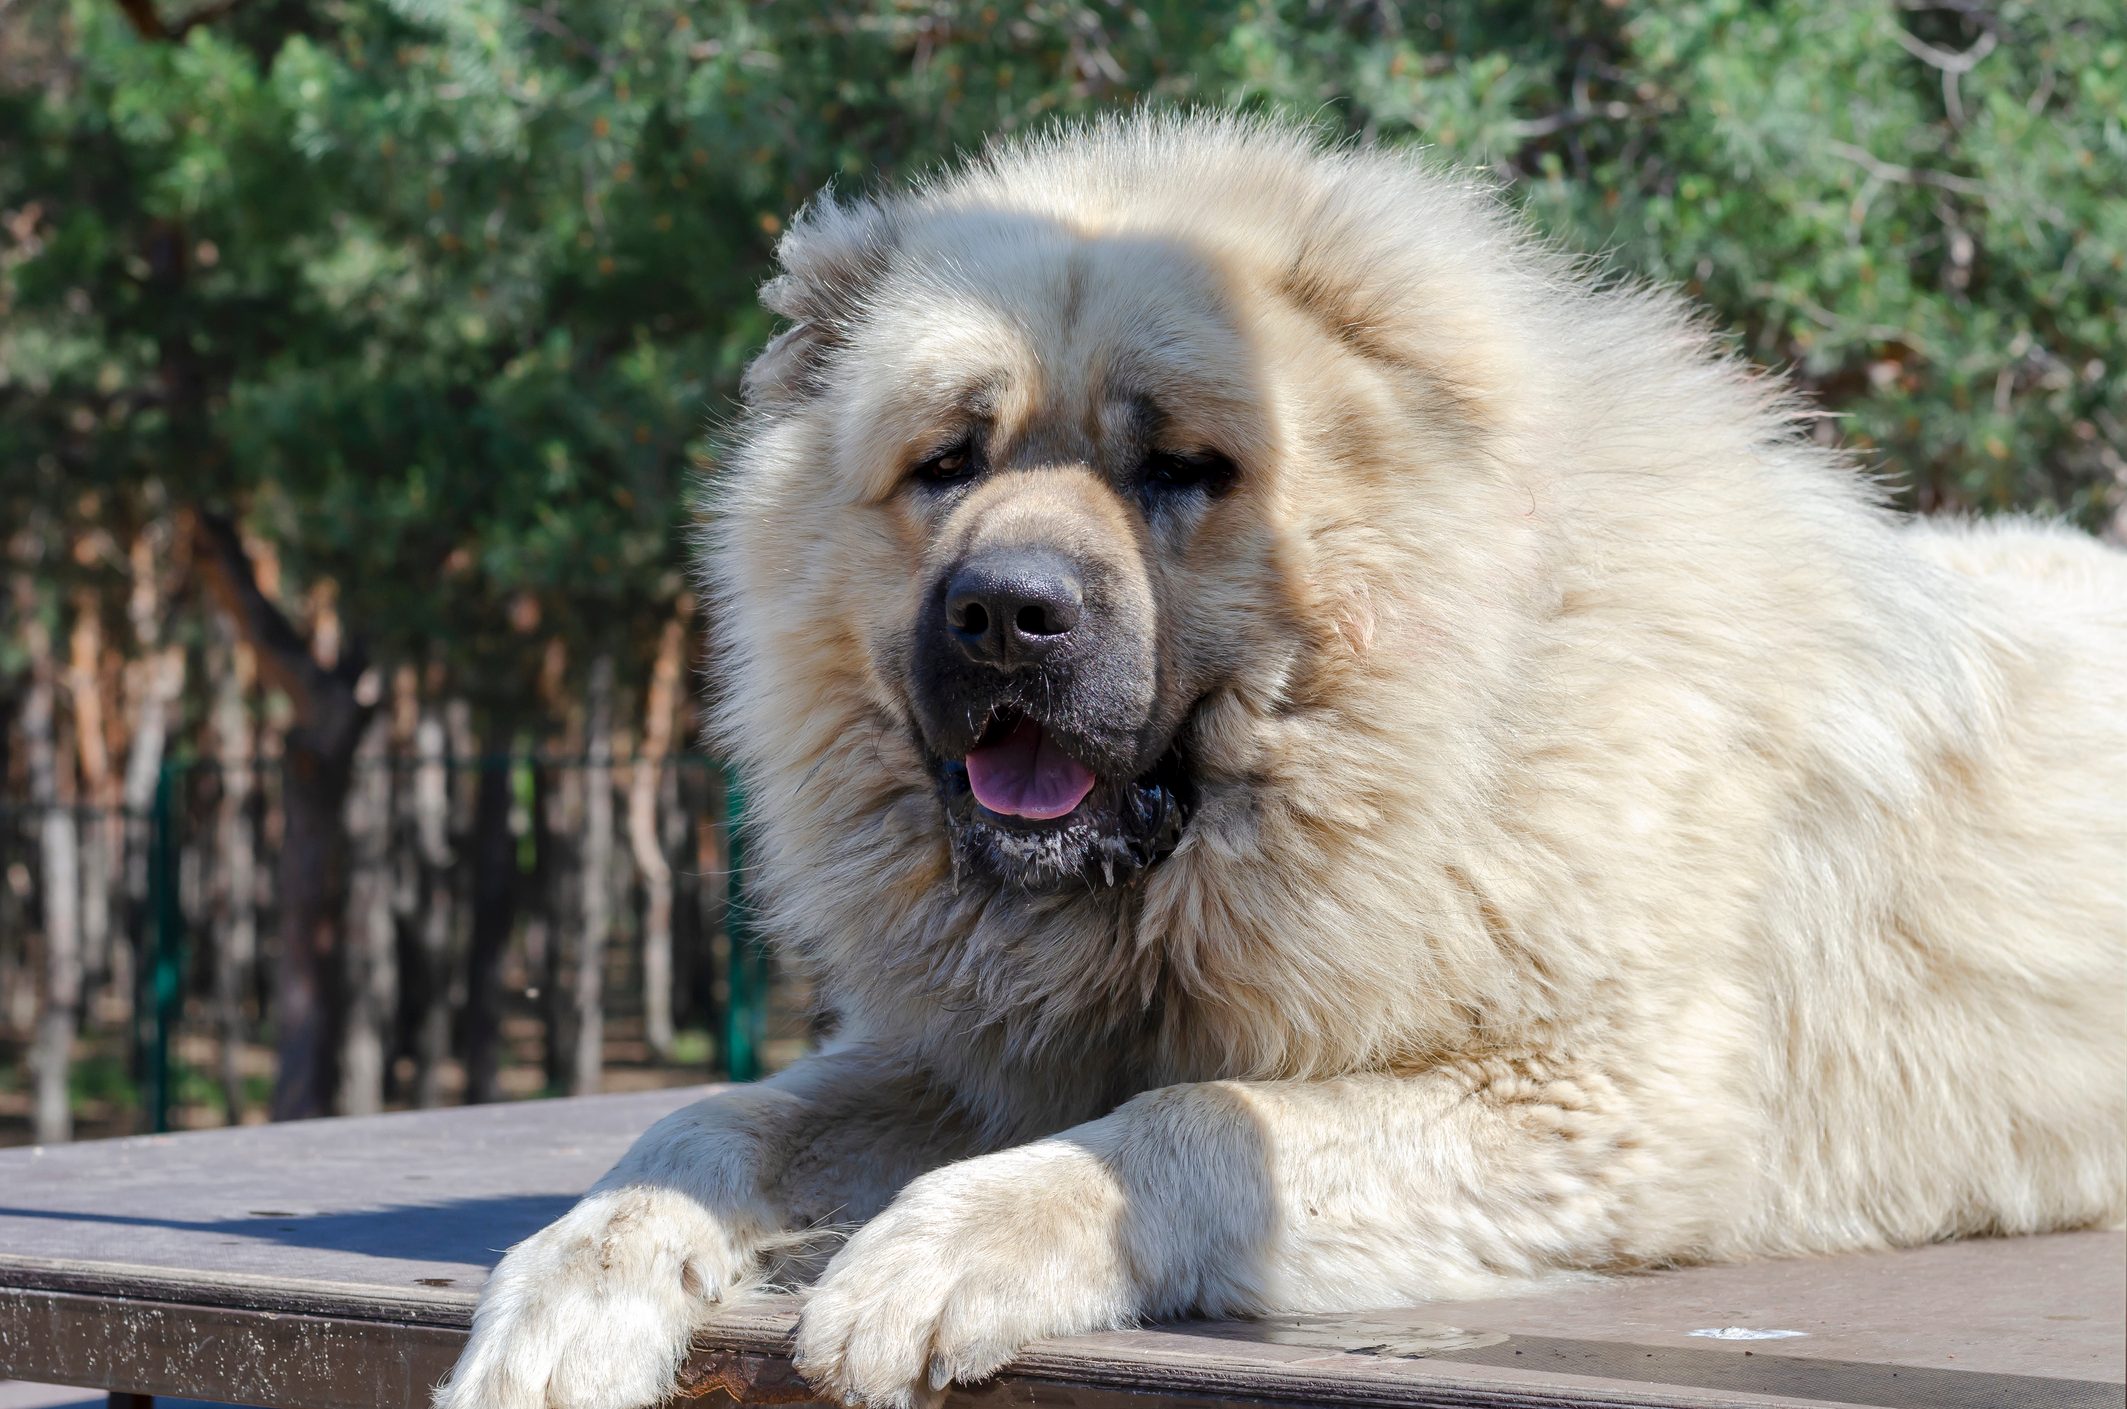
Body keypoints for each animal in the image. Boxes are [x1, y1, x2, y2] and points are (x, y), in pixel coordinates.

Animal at [436, 113, 2127, 1409]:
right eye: (947, 463)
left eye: (1182, 468)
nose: (1005, 611)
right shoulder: (975, 1056)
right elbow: (711, 1123)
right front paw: (564, 1300)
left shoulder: (1588, 1105)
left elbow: (1185, 1123)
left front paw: (930, 1254)